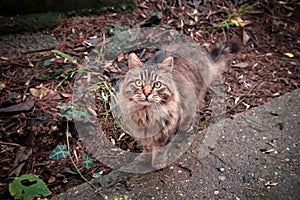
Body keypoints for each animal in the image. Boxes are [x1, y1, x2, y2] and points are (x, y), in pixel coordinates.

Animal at [112, 41, 239, 169]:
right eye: (139, 83)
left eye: (157, 85)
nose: (147, 93)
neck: (146, 113)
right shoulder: (142, 133)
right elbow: (147, 147)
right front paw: (143, 158)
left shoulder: (166, 132)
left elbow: (160, 150)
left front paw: (158, 164)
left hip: (191, 103)